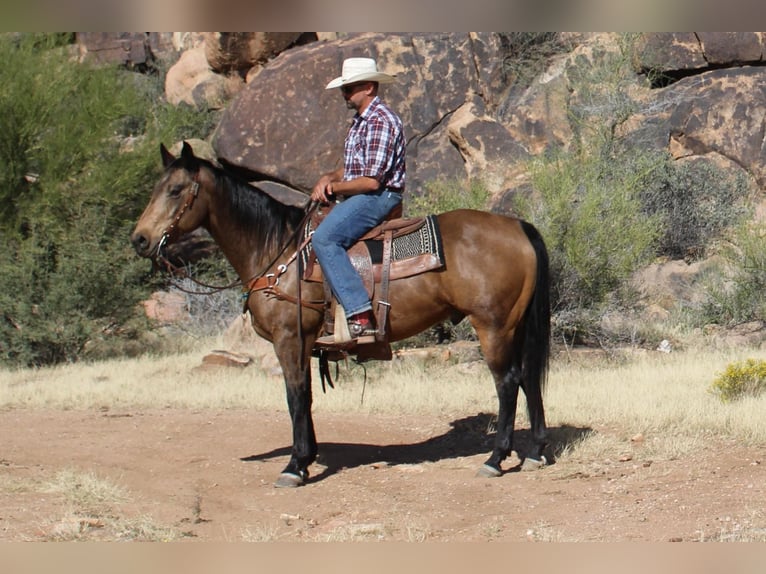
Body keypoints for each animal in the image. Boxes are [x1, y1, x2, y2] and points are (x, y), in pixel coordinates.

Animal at [132, 142, 552, 488]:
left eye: (175, 190)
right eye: (155, 188)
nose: (140, 240)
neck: (278, 252)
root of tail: (518, 226)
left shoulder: (289, 339)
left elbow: (295, 396)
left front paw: (295, 465)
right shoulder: (304, 344)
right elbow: (306, 398)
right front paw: (307, 458)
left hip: (492, 326)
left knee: (507, 382)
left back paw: (495, 459)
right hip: (514, 326)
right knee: (528, 378)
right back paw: (535, 452)